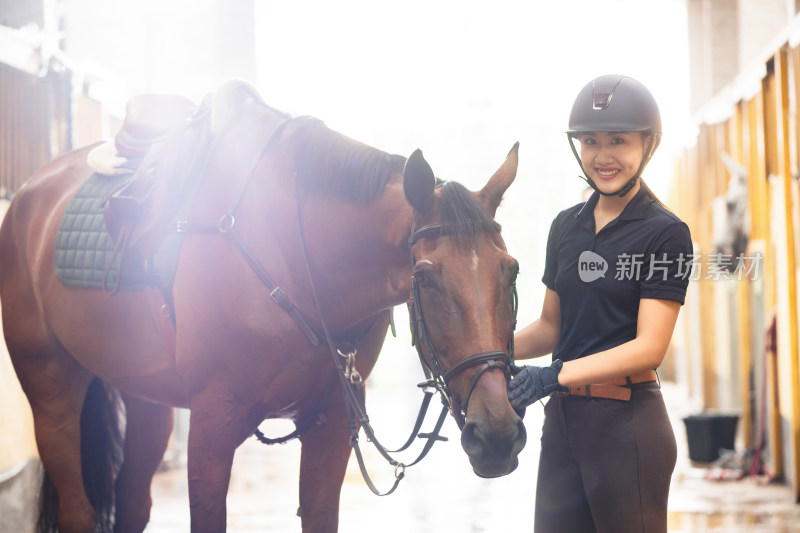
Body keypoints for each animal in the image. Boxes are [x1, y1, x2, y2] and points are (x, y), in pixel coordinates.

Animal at [0, 80, 524, 532]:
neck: (297, 257)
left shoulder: (332, 425)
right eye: (425, 279)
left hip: (146, 401)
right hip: (52, 389)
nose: (497, 434)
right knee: (77, 508)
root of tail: (29, 194)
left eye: (512, 271)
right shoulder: (212, 427)